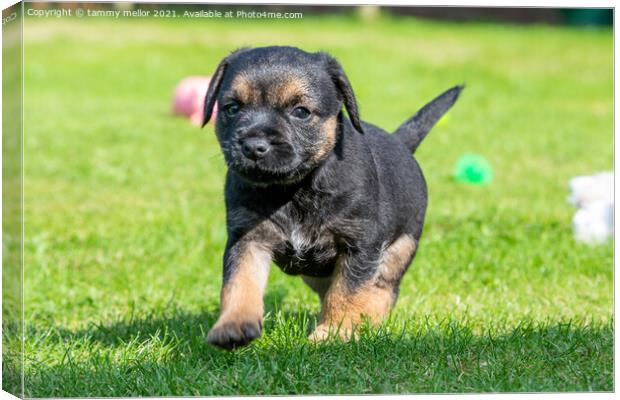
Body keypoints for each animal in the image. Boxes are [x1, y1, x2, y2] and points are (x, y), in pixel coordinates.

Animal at [201, 45, 462, 348]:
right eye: (232, 108)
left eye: (301, 112)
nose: (254, 146)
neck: (294, 190)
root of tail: (401, 142)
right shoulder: (248, 238)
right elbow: (239, 282)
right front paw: (233, 324)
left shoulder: (360, 245)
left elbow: (347, 293)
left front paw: (334, 333)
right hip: (313, 273)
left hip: (400, 249)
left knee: (382, 290)